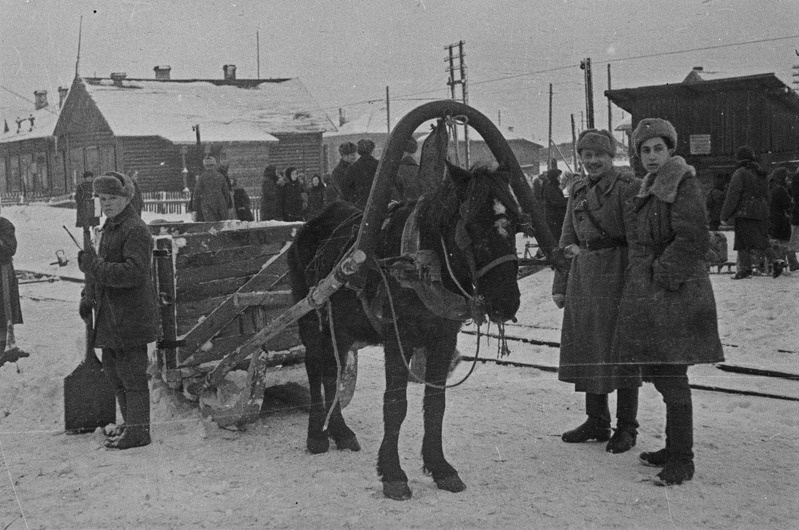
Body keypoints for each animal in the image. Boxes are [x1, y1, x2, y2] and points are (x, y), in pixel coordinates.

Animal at [288, 160, 524, 496]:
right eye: (471, 224)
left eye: (517, 223)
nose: (506, 301)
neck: (424, 264)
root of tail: (307, 226)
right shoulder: (397, 338)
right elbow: (395, 404)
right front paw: (392, 474)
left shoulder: (443, 338)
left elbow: (436, 404)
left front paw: (440, 467)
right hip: (310, 318)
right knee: (313, 366)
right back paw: (316, 435)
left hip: (341, 327)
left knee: (333, 370)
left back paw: (341, 431)